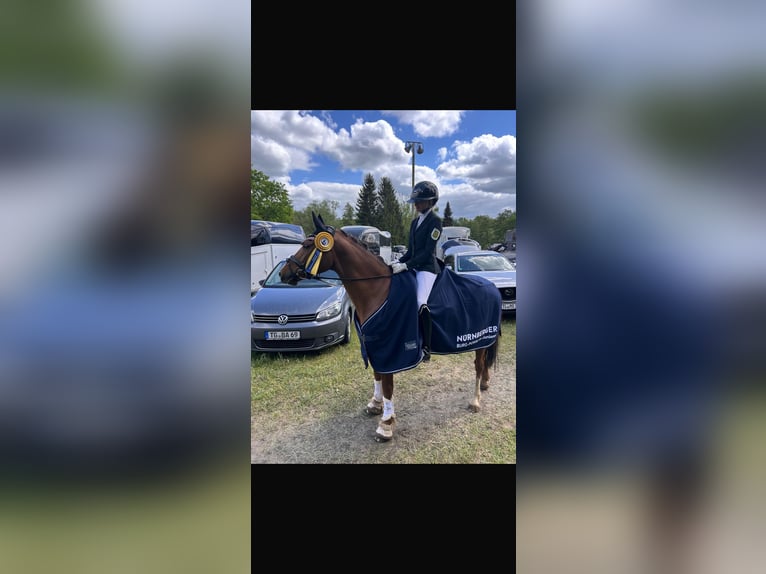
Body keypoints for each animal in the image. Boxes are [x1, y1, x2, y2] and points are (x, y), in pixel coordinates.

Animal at [280, 212, 500, 442]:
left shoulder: (392, 349)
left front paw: (385, 425)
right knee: (484, 363)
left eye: (307, 245)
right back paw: (484, 384)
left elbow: (387, 385)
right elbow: (377, 376)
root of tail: (492, 286)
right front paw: (375, 405)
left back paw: (475, 400)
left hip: (482, 338)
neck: (377, 289)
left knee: (478, 364)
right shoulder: (373, 343)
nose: (283, 273)